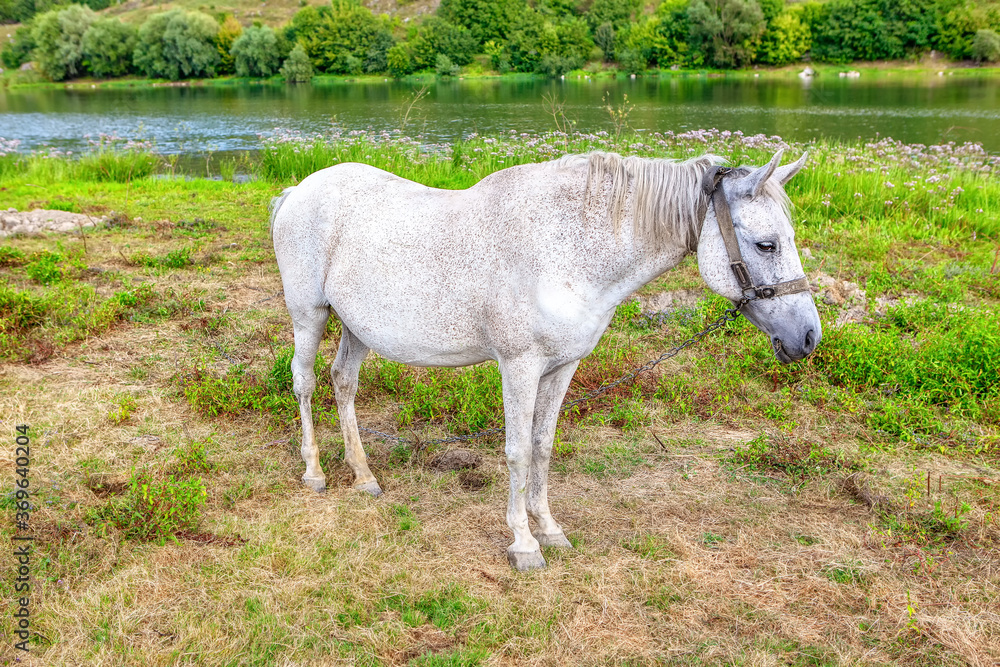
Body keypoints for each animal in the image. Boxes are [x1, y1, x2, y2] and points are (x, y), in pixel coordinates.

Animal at [270, 148, 820, 571]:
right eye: (765, 244)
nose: (808, 337)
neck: (568, 248)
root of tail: (297, 191)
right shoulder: (519, 366)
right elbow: (516, 451)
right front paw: (523, 544)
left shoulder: (561, 368)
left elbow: (542, 446)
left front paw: (550, 529)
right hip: (309, 315)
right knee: (305, 383)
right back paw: (314, 472)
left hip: (356, 328)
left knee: (343, 383)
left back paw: (363, 475)